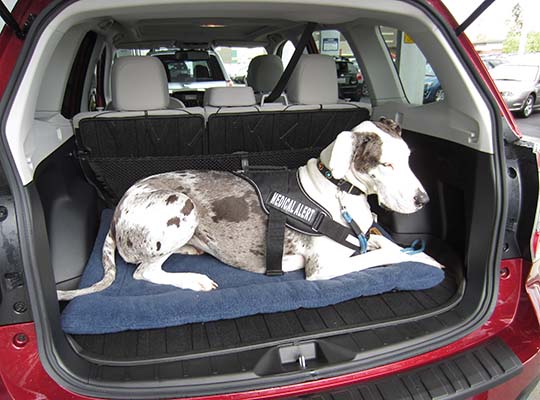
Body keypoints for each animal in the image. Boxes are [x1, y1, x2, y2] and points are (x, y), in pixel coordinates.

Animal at [57, 119, 442, 300]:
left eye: (408, 157)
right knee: (144, 272)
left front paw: (427, 257)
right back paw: (193, 279)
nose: (424, 200)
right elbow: (383, 255)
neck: (338, 192)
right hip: (182, 204)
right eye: (385, 164)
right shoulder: (323, 270)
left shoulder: (362, 236)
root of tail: (120, 204)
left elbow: (385, 243)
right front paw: (414, 259)